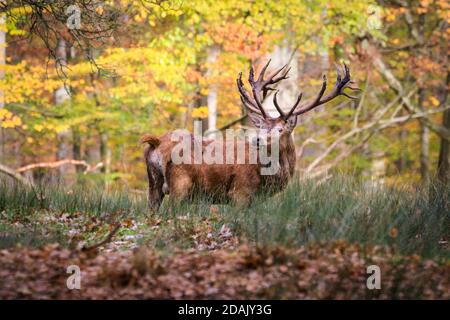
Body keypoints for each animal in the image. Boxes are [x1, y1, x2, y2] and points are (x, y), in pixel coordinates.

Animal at [142, 60, 358, 211]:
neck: (270, 177)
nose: (257, 139)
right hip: (180, 184)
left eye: (280, 129)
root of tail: (156, 142)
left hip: (153, 184)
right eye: (260, 126)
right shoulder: (241, 191)